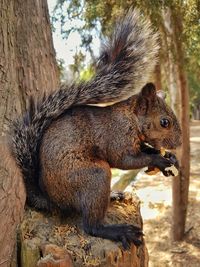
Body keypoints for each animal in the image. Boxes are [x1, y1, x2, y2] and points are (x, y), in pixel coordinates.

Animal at [9, 9, 181, 250]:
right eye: (164, 122)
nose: (179, 143)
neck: (130, 119)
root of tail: (51, 199)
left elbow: (146, 150)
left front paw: (170, 159)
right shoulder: (116, 138)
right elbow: (125, 161)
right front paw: (159, 160)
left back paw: (114, 196)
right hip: (94, 176)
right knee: (91, 226)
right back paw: (119, 231)